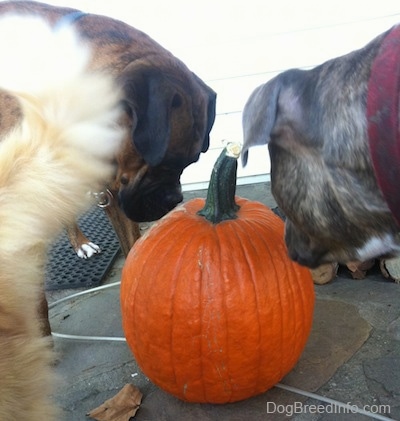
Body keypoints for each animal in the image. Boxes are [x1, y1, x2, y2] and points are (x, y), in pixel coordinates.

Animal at [0, 0, 216, 334]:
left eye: (191, 161)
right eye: (163, 161)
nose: (174, 199)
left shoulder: (115, 192)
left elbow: (133, 248)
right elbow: (35, 308)